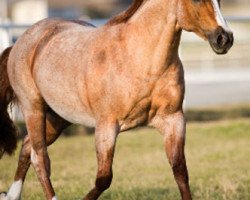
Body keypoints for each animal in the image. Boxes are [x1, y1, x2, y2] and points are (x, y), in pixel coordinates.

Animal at [0, 0, 232, 199]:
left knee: (27, 147)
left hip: (58, 118)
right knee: (40, 158)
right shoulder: (107, 126)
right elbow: (104, 178)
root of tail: (22, 41)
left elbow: (180, 171)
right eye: (196, 0)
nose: (225, 38)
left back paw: (11, 195)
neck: (140, 59)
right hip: (34, 109)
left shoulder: (173, 120)